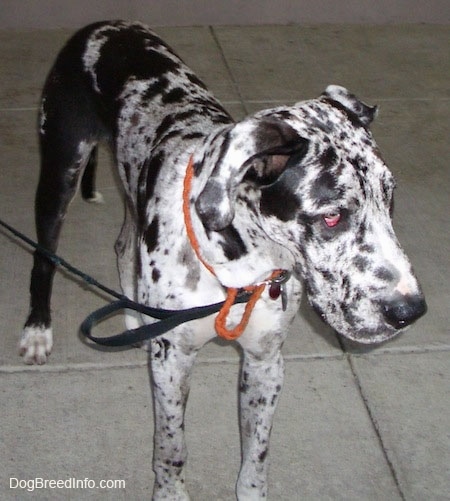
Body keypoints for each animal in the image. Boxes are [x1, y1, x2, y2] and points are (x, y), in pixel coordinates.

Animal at [21, 20, 428, 500]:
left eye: (390, 198)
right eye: (331, 215)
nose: (410, 310)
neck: (240, 267)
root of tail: (100, 25)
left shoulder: (265, 362)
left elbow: (257, 454)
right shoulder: (172, 364)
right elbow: (171, 448)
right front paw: (170, 493)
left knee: (123, 244)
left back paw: (135, 318)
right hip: (59, 171)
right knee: (43, 257)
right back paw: (37, 330)